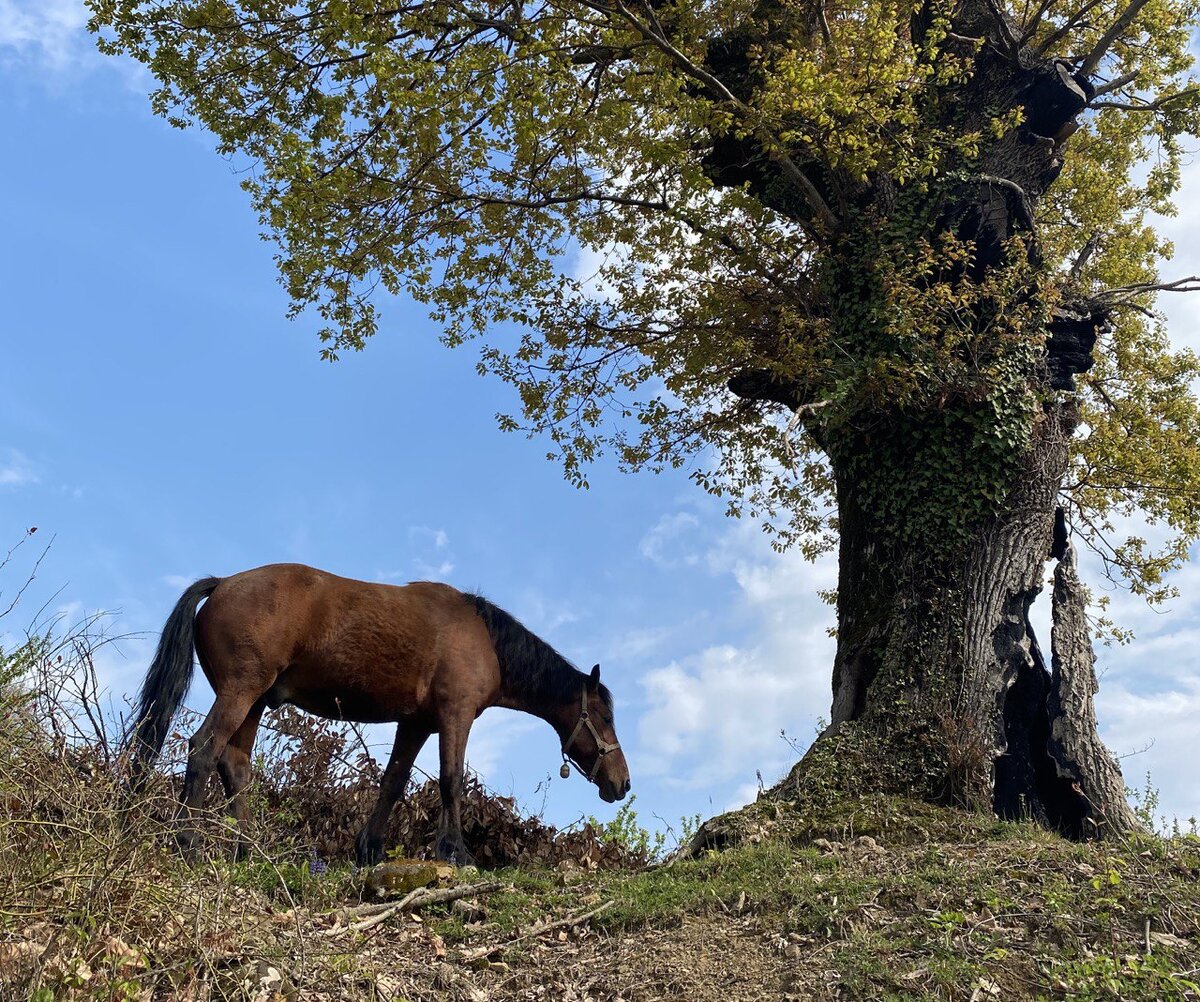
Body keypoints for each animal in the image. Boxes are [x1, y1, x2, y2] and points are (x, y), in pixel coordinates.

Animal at [123, 559, 633, 864]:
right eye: (604, 718)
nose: (622, 783)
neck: (484, 639)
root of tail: (223, 584)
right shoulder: (455, 716)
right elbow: (450, 781)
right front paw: (456, 853)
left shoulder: (416, 724)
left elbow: (392, 783)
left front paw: (369, 850)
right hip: (240, 693)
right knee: (203, 750)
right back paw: (188, 842)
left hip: (254, 702)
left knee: (235, 764)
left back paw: (247, 851)